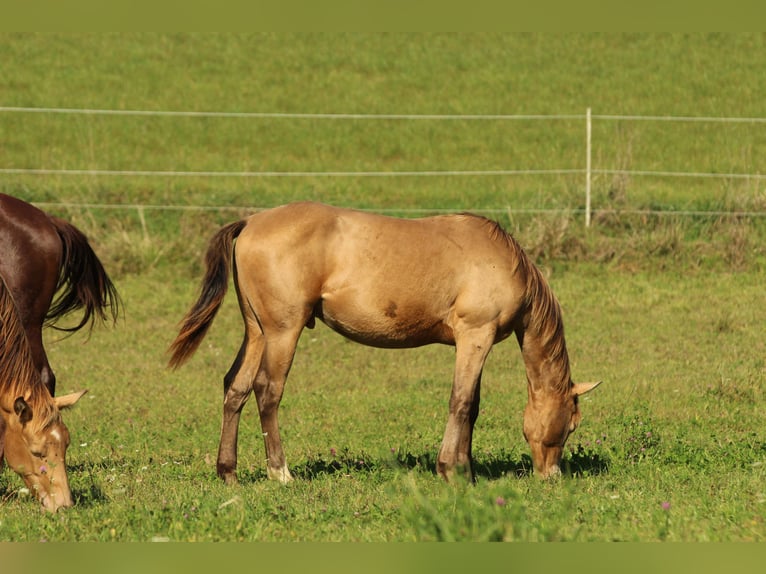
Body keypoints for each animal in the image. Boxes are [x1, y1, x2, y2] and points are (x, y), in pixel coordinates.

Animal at [168, 202, 601, 484]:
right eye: (571, 425)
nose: (551, 476)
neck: (504, 261)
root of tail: (250, 222)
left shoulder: (477, 342)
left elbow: (472, 406)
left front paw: (467, 471)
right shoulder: (476, 336)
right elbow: (460, 402)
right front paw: (450, 470)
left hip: (257, 331)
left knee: (236, 388)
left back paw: (228, 472)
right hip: (282, 332)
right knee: (266, 391)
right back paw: (281, 472)